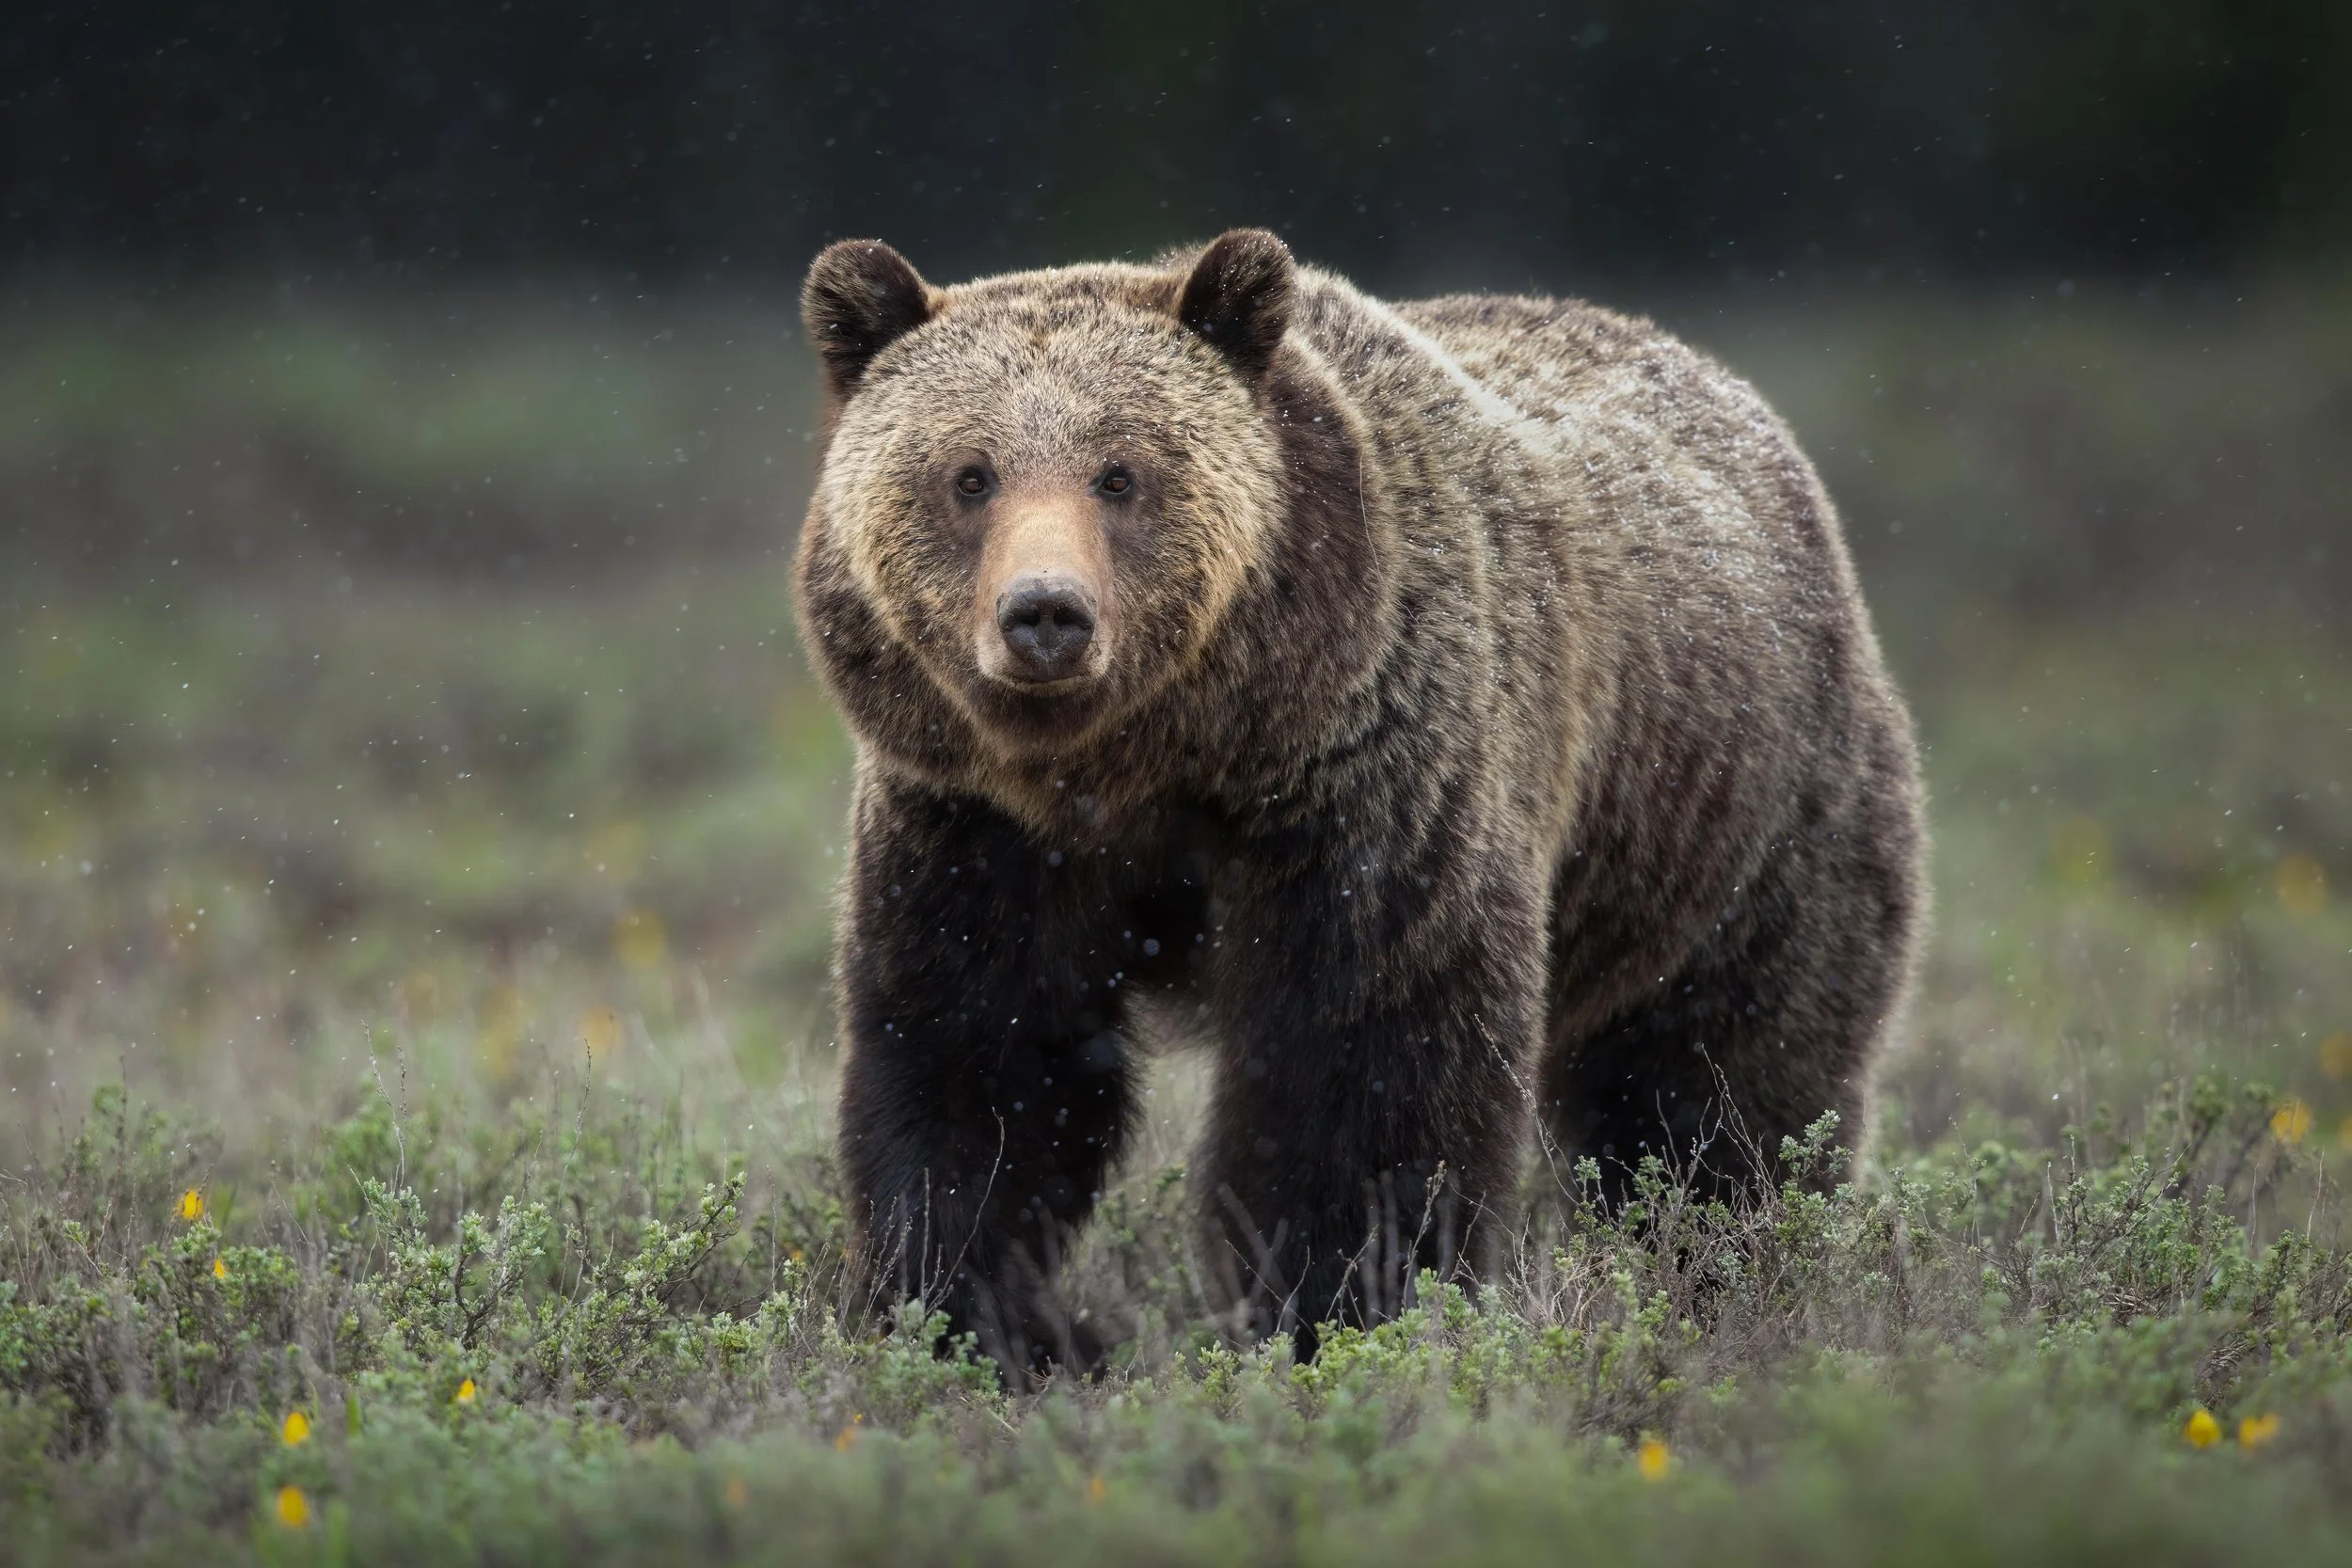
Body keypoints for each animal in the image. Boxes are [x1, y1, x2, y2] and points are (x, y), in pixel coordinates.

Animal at [793, 229, 1926, 1380]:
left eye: (1120, 472)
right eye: (968, 473)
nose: (1045, 614)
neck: (1150, 763)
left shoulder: (1366, 788)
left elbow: (1364, 1072)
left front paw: (1342, 1308)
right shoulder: (977, 832)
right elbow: (979, 1062)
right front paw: (969, 1318)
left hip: (1737, 817)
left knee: (1721, 1083)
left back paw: (1731, 1264)